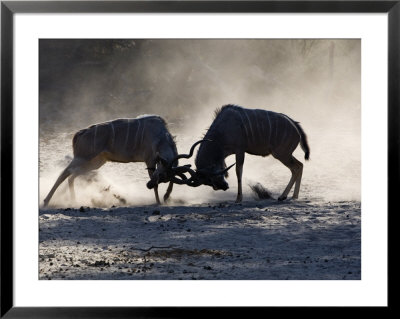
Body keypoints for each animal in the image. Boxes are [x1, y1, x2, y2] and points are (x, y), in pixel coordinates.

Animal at [42, 115, 184, 208]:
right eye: (160, 175)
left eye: (164, 177)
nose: (147, 185)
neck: (161, 138)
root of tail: (79, 134)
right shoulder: (149, 160)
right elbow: (154, 182)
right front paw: (159, 202)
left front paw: (166, 198)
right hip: (82, 157)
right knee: (64, 173)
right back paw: (47, 201)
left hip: (95, 162)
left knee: (72, 175)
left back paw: (72, 201)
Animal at [167, 105, 310, 202]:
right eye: (208, 182)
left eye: (209, 179)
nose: (223, 186)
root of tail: (295, 126)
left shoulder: (239, 150)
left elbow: (238, 171)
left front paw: (238, 198)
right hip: (285, 154)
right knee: (300, 165)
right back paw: (293, 196)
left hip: (281, 154)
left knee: (296, 167)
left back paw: (283, 196)